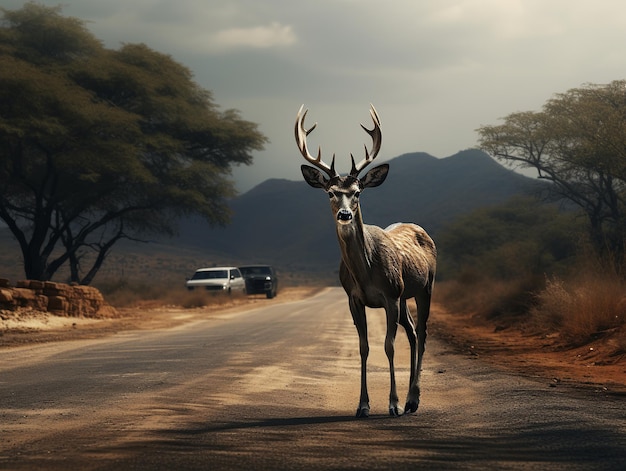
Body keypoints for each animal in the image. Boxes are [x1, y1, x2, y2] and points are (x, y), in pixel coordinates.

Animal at [294, 105, 436, 418]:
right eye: (330, 192)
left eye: (357, 192)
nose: (345, 215)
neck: (367, 272)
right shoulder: (354, 298)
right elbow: (364, 347)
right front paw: (362, 405)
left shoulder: (390, 295)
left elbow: (389, 346)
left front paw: (393, 404)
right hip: (405, 294)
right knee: (412, 333)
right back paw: (411, 399)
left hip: (425, 286)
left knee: (421, 332)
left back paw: (412, 399)